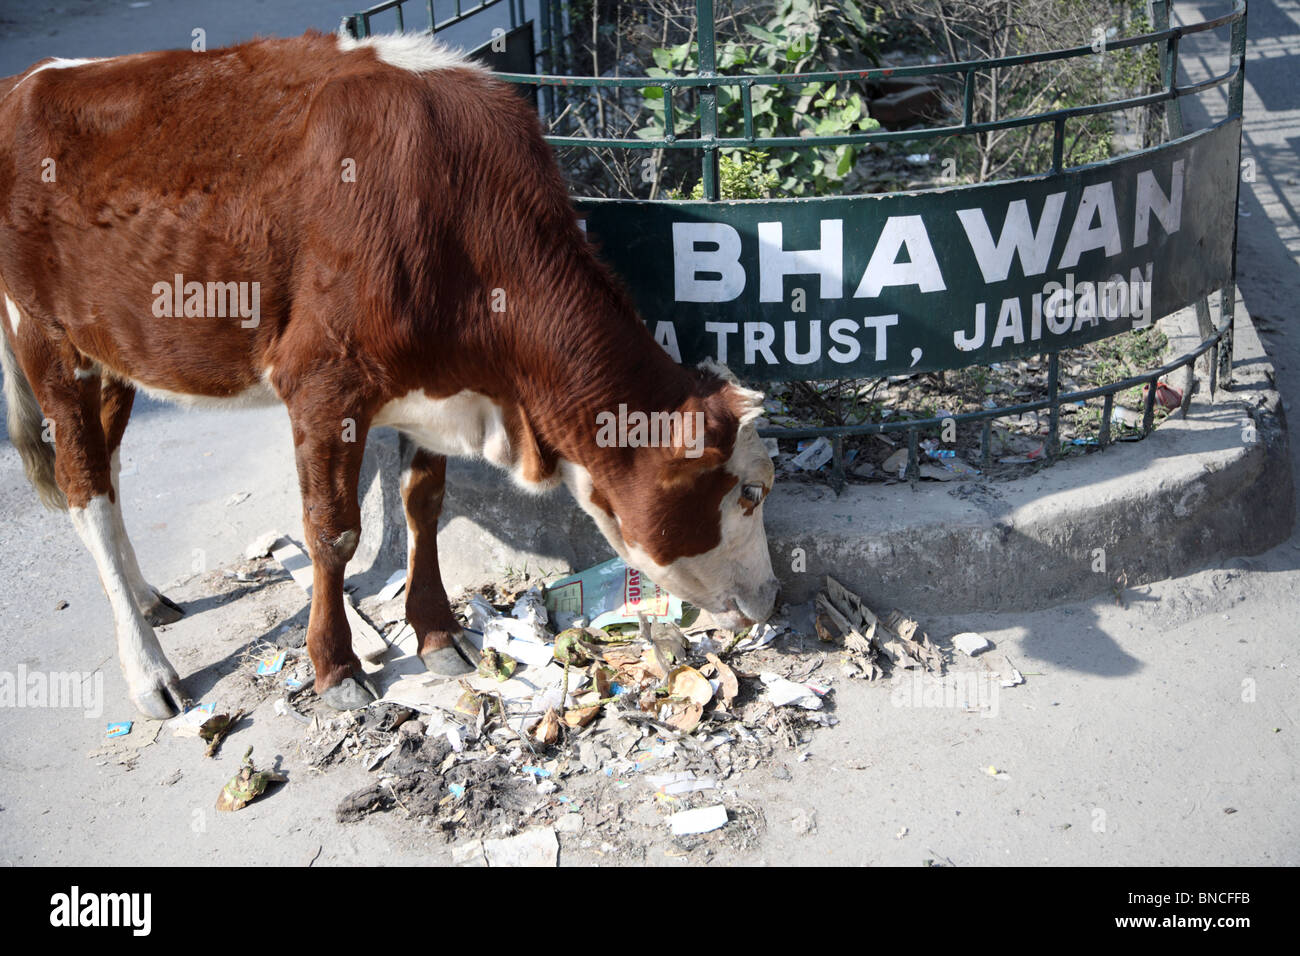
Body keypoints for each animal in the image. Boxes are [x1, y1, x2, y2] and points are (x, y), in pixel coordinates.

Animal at [0, 29, 774, 717]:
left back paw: (144, 595)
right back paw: (149, 671)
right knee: (84, 490)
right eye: (749, 494)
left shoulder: (432, 386)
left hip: (113, 353)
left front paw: (437, 633)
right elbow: (331, 533)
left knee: (107, 473)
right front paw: (335, 667)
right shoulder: (321, 382)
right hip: (44, 339)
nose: (772, 597)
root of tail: (26, 79)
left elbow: (422, 506)